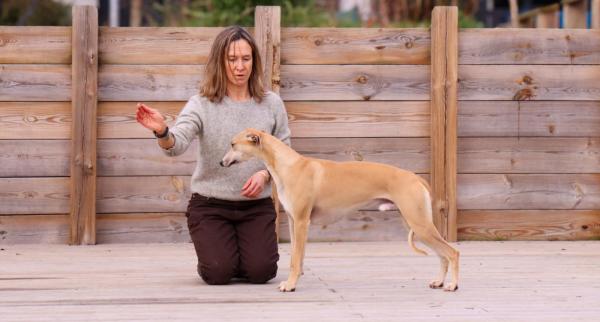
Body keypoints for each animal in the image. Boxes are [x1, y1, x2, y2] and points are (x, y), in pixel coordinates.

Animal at [220, 127, 460, 292]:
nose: (221, 163)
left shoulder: (302, 222)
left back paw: (452, 285)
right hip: (417, 224)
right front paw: (294, 279)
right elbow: (296, 257)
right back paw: (439, 281)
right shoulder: (293, 221)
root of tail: (415, 178)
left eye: (232, 144)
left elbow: (296, 258)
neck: (290, 166)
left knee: (452, 253)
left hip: (420, 225)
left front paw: (290, 284)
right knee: (442, 255)